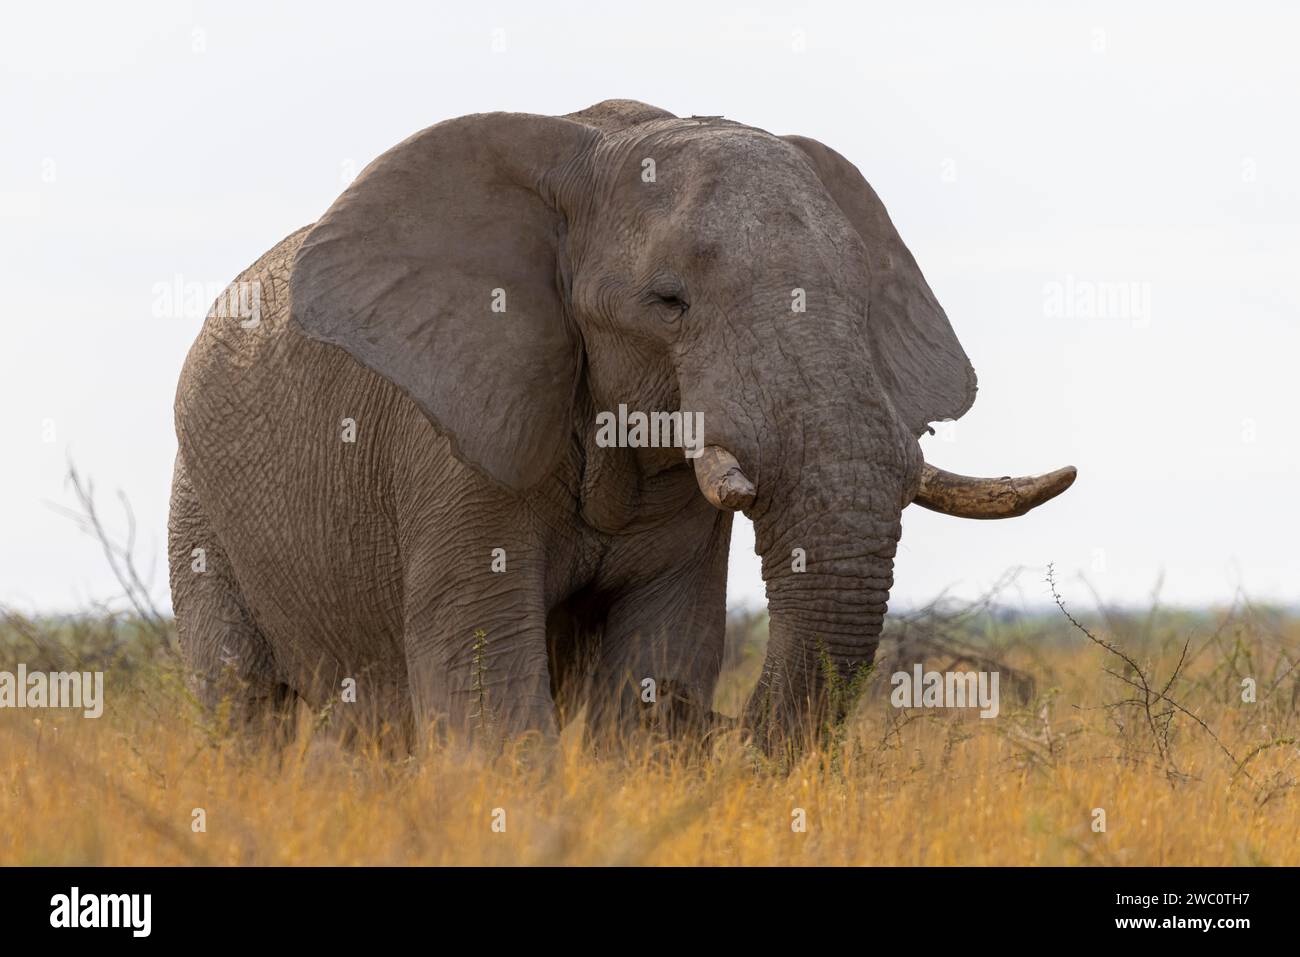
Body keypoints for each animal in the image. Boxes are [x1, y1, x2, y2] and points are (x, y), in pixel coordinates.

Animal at [168, 99, 1075, 751]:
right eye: (668, 302)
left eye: (862, 298)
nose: (694, 719)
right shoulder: (453, 439)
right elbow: (485, 677)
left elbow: (657, 645)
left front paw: (645, 719)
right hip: (198, 506)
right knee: (241, 703)